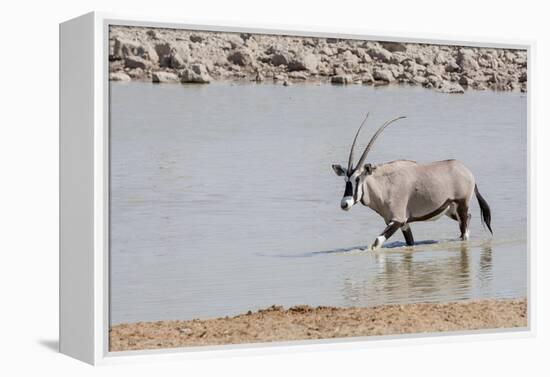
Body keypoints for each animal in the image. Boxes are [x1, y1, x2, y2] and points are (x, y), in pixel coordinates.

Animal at [332, 114, 496, 250]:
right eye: (345, 180)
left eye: (357, 178)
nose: (345, 203)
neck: (384, 185)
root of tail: (468, 172)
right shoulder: (403, 223)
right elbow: (410, 243)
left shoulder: (397, 220)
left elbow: (376, 244)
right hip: (450, 210)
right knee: (468, 220)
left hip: (461, 205)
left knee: (464, 231)